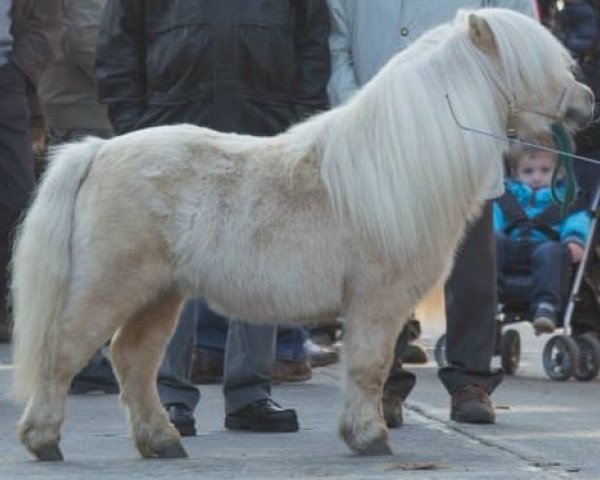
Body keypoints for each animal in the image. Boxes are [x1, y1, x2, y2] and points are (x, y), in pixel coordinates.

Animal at [11, 8, 592, 462]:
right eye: (539, 67)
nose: (587, 101)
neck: (395, 164)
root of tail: (98, 151)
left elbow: (370, 369)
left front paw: (362, 433)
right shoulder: (376, 302)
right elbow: (370, 368)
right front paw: (369, 437)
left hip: (159, 295)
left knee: (133, 361)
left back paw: (163, 441)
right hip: (110, 288)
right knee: (63, 352)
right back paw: (43, 440)